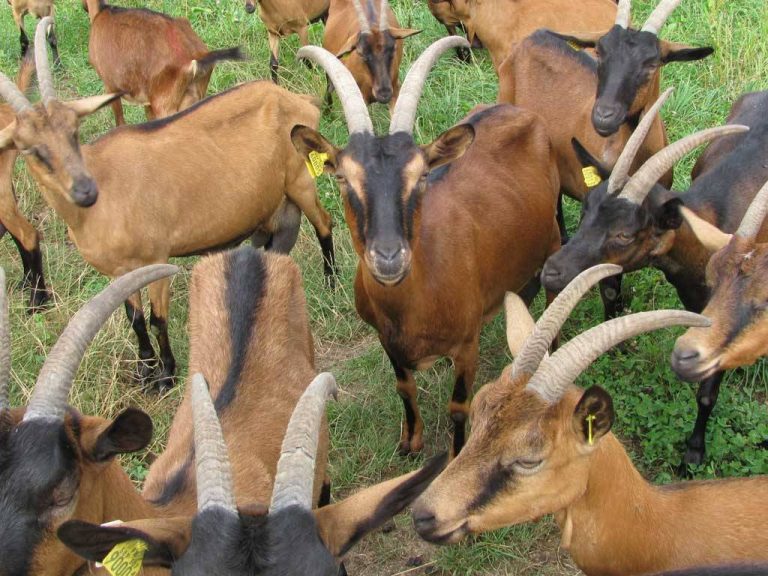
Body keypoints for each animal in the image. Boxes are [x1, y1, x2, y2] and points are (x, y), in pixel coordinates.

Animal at [0, 18, 336, 389]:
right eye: (30, 149)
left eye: (74, 132)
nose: (86, 191)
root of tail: (297, 100)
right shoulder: (120, 272)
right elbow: (133, 317)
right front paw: (145, 368)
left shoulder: (155, 257)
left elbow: (157, 317)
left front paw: (166, 375)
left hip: (300, 180)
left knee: (325, 223)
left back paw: (331, 282)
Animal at [82, 0, 244, 126]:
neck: (102, 12)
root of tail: (196, 56)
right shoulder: (147, 100)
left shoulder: (109, 85)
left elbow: (119, 119)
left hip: (166, 104)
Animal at [291, 37, 561, 456]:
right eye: (342, 178)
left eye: (421, 176)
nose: (388, 258)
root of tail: (517, 112)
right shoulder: (387, 340)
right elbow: (404, 386)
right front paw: (410, 440)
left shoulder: (467, 344)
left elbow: (459, 406)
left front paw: (454, 453)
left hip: (553, 237)